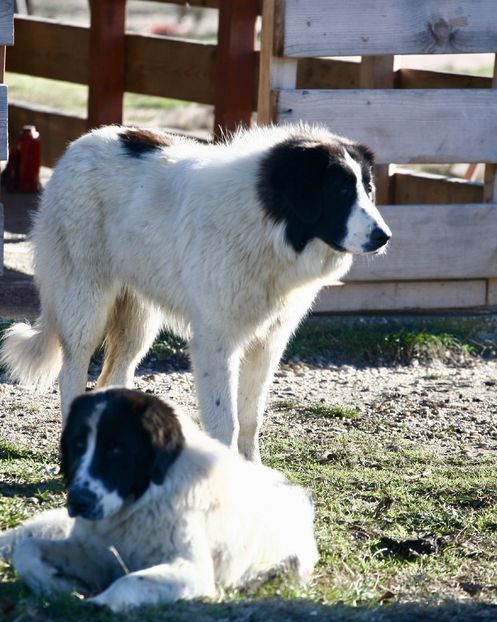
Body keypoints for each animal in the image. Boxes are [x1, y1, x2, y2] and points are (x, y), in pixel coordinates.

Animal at [0, 124, 390, 460]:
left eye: (368, 190)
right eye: (340, 190)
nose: (384, 237)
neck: (268, 222)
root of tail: (80, 144)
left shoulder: (268, 342)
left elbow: (251, 418)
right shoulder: (216, 342)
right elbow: (225, 422)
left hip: (138, 320)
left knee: (115, 375)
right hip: (86, 303)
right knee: (72, 375)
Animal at [0, 390, 318, 616]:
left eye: (116, 449)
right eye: (78, 444)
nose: (78, 501)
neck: (140, 503)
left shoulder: (192, 571)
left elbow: (131, 580)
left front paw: (101, 602)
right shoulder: (93, 553)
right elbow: (28, 550)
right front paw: (57, 583)